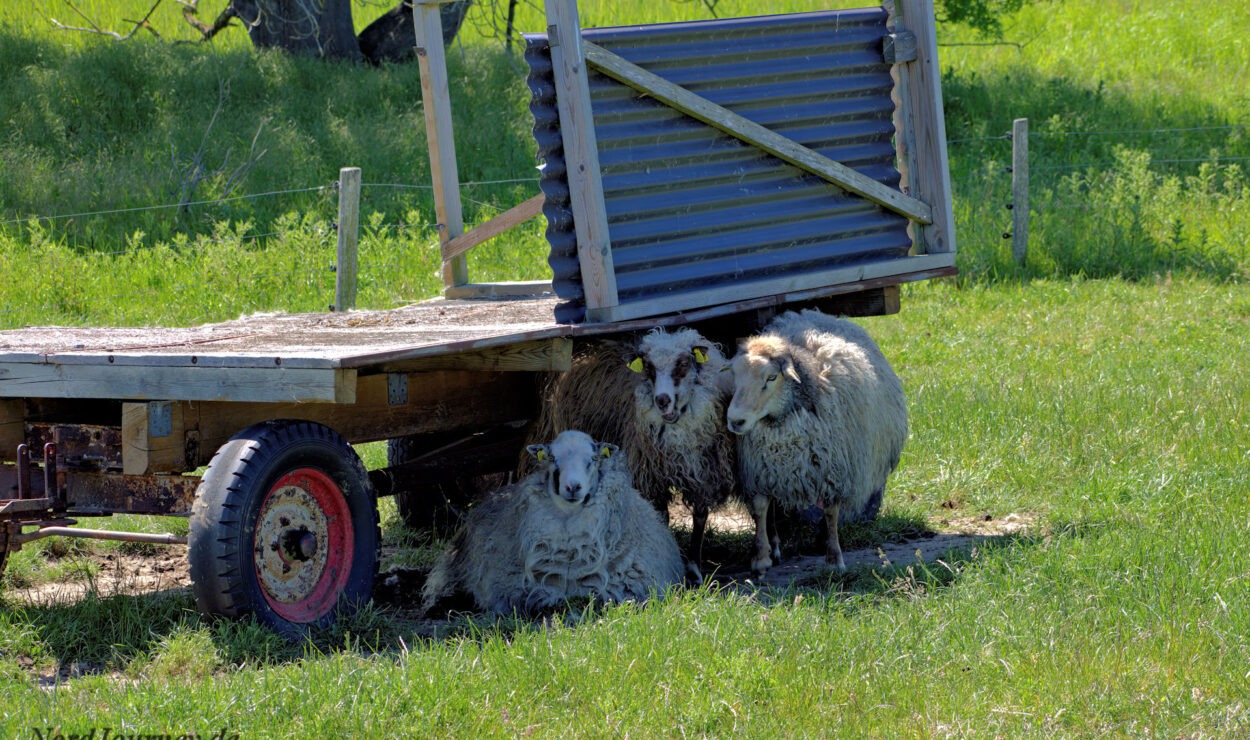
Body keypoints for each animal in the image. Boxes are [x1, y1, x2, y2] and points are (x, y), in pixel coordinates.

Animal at [525, 327, 735, 577]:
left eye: (683, 364)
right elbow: (662, 516)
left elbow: (700, 517)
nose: (661, 400)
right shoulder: (650, 476)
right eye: (649, 368)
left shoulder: (703, 472)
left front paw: (694, 569)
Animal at [725, 308, 910, 575]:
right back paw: (775, 546)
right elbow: (761, 510)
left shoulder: (834, 471)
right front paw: (760, 558)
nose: (735, 421)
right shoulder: (760, 470)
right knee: (773, 508)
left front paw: (834, 558)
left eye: (771, 377)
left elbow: (831, 513)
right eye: (735, 376)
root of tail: (817, 314)